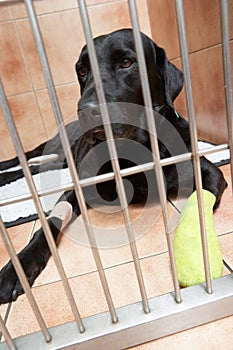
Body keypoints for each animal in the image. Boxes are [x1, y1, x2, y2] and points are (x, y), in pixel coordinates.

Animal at [0, 29, 226, 304]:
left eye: (126, 63)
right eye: (82, 70)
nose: (85, 111)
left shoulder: (209, 171)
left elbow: (200, 201)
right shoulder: (78, 186)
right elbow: (51, 222)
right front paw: (19, 267)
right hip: (57, 148)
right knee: (26, 159)